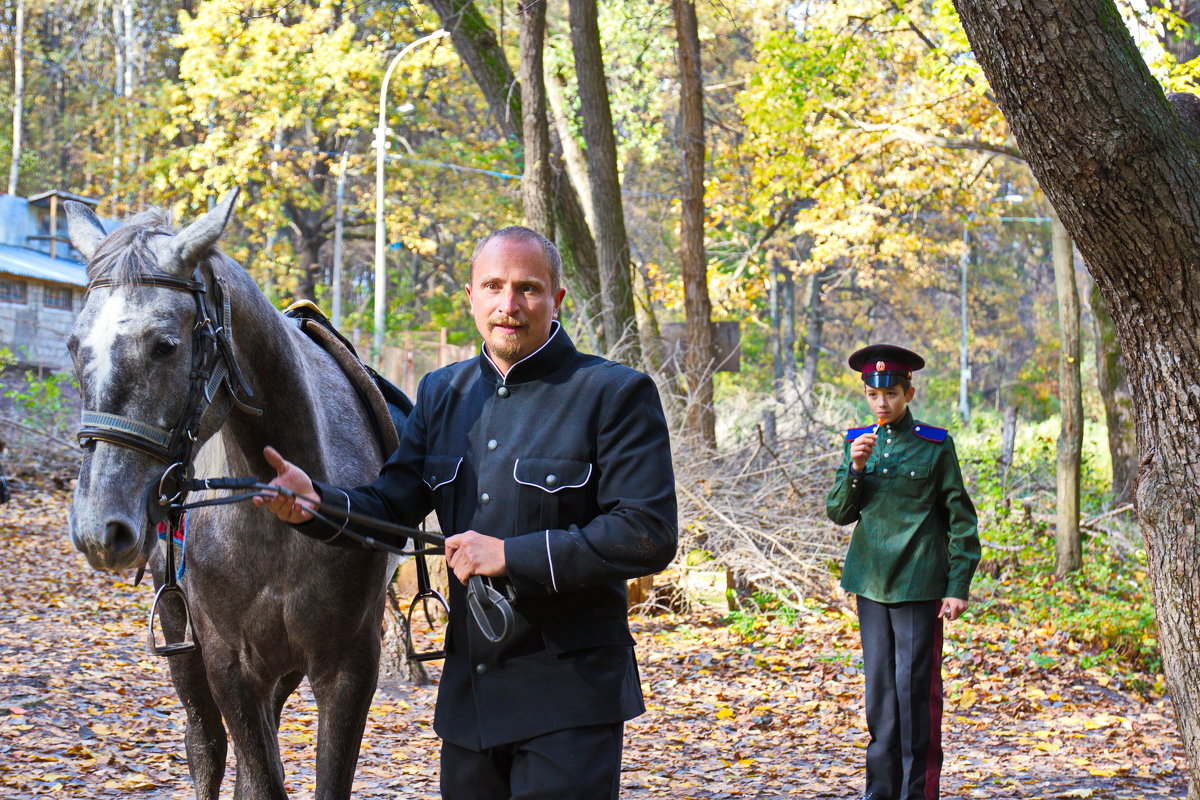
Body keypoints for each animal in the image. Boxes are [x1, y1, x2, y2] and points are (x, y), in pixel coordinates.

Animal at [65, 195, 396, 800]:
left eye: (165, 345)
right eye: (76, 346)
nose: (99, 528)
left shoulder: (349, 665)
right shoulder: (229, 663)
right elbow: (256, 774)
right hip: (183, 639)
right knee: (207, 744)